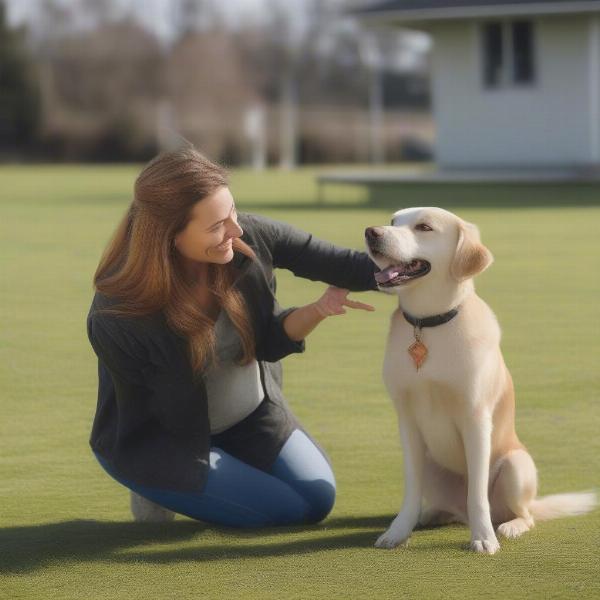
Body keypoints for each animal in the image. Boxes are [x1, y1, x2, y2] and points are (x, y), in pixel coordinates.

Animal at [366, 209, 596, 556]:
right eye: (393, 222)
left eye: (424, 227)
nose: (371, 233)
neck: (429, 325)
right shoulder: (407, 421)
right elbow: (410, 492)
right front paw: (398, 531)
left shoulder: (475, 418)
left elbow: (477, 494)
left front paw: (484, 538)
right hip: (432, 464)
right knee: (449, 508)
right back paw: (431, 515)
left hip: (516, 466)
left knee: (521, 514)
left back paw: (510, 526)